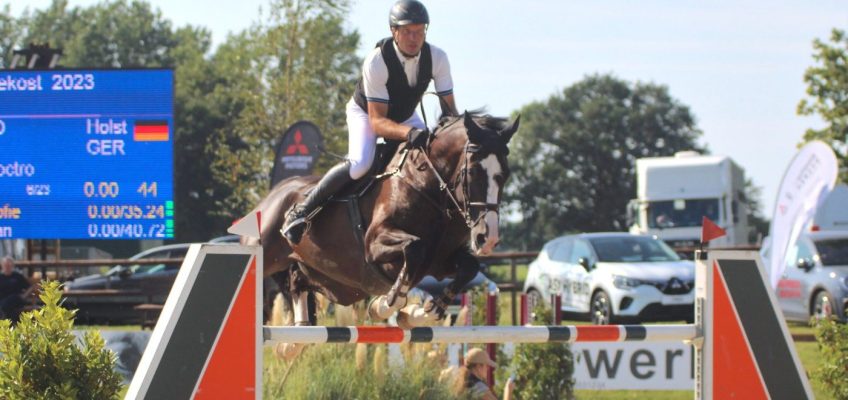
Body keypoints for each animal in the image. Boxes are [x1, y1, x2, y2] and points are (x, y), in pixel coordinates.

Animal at [240, 111, 516, 330]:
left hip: (323, 276)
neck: (429, 186)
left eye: (505, 174)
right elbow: (413, 248)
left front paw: (425, 312)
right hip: (266, 251)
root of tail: (271, 196)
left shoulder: (439, 262)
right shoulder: (374, 244)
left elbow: (469, 266)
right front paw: (387, 303)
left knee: (296, 282)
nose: (487, 237)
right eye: (474, 171)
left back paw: (295, 339)